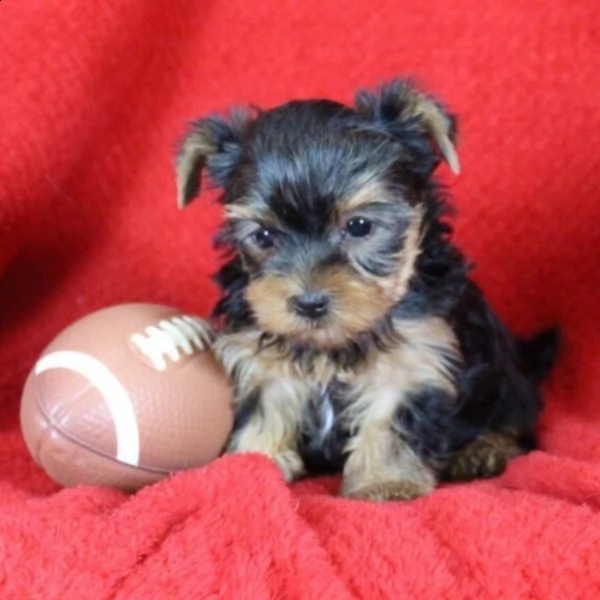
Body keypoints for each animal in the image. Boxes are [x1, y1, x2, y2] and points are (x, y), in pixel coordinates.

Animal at [172, 79, 556, 502]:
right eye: (264, 236)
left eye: (359, 226)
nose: (309, 303)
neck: (335, 344)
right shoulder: (261, 358)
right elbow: (265, 409)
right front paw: (251, 463)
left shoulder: (415, 356)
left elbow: (391, 421)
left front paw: (386, 482)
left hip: (506, 379)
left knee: (515, 421)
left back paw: (484, 449)